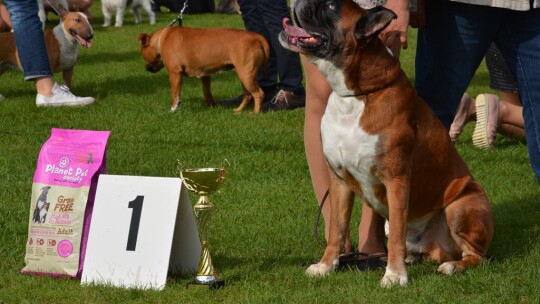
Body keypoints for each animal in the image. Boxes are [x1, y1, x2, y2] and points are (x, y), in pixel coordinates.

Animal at [136, 26, 268, 113]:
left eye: (143, 56)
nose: (145, 68)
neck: (162, 39)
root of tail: (256, 36)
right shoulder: (205, 75)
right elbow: (206, 92)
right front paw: (212, 106)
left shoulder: (175, 74)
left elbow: (176, 94)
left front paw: (173, 109)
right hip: (244, 75)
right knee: (247, 95)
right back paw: (238, 110)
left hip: (246, 75)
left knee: (259, 94)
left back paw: (255, 113)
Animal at [280, 1, 496, 288]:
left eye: (332, 6)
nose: (298, 1)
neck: (357, 95)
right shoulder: (338, 180)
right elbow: (337, 228)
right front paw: (326, 265)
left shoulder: (397, 179)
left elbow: (395, 236)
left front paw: (394, 276)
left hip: (462, 204)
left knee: (476, 256)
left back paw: (451, 266)